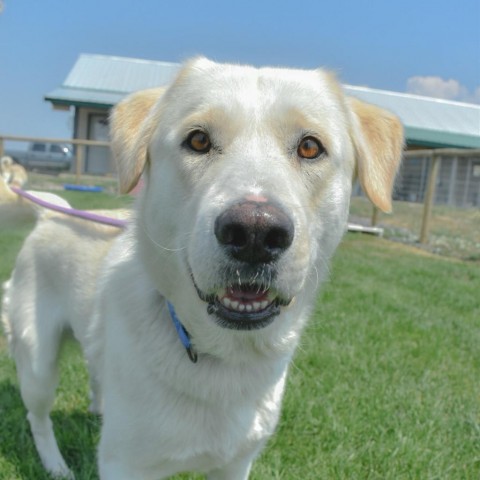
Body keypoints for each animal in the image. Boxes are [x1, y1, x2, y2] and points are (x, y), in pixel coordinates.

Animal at [1, 58, 404, 478]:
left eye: (310, 147)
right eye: (198, 141)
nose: (255, 232)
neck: (224, 354)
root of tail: (51, 213)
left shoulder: (236, 462)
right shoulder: (125, 464)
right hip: (37, 362)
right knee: (38, 417)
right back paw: (56, 464)